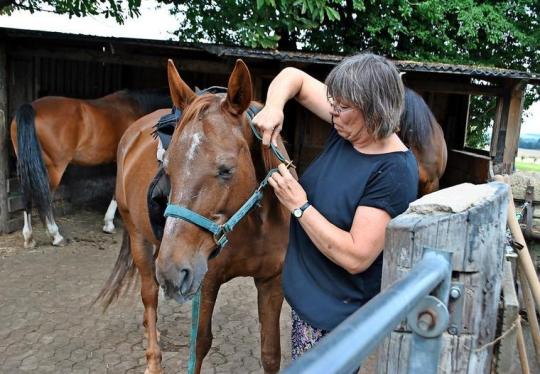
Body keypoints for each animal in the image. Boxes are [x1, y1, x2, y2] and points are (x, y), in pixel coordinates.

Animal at [11, 88, 171, 247]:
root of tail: (31, 108)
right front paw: (109, 224)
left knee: (26, 194)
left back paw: (29, 238)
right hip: (55, 168)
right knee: (45, 197)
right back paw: (55, 236)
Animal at [97, 60, 292, 372]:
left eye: (226, 170)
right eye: (167, 168)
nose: (174, 272)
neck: (254, 222)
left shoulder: (271, 281)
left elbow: (271, 353)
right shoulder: (206, 282)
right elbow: (199, 345)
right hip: (140, 239)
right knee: (149, 295)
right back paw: (153, 359)